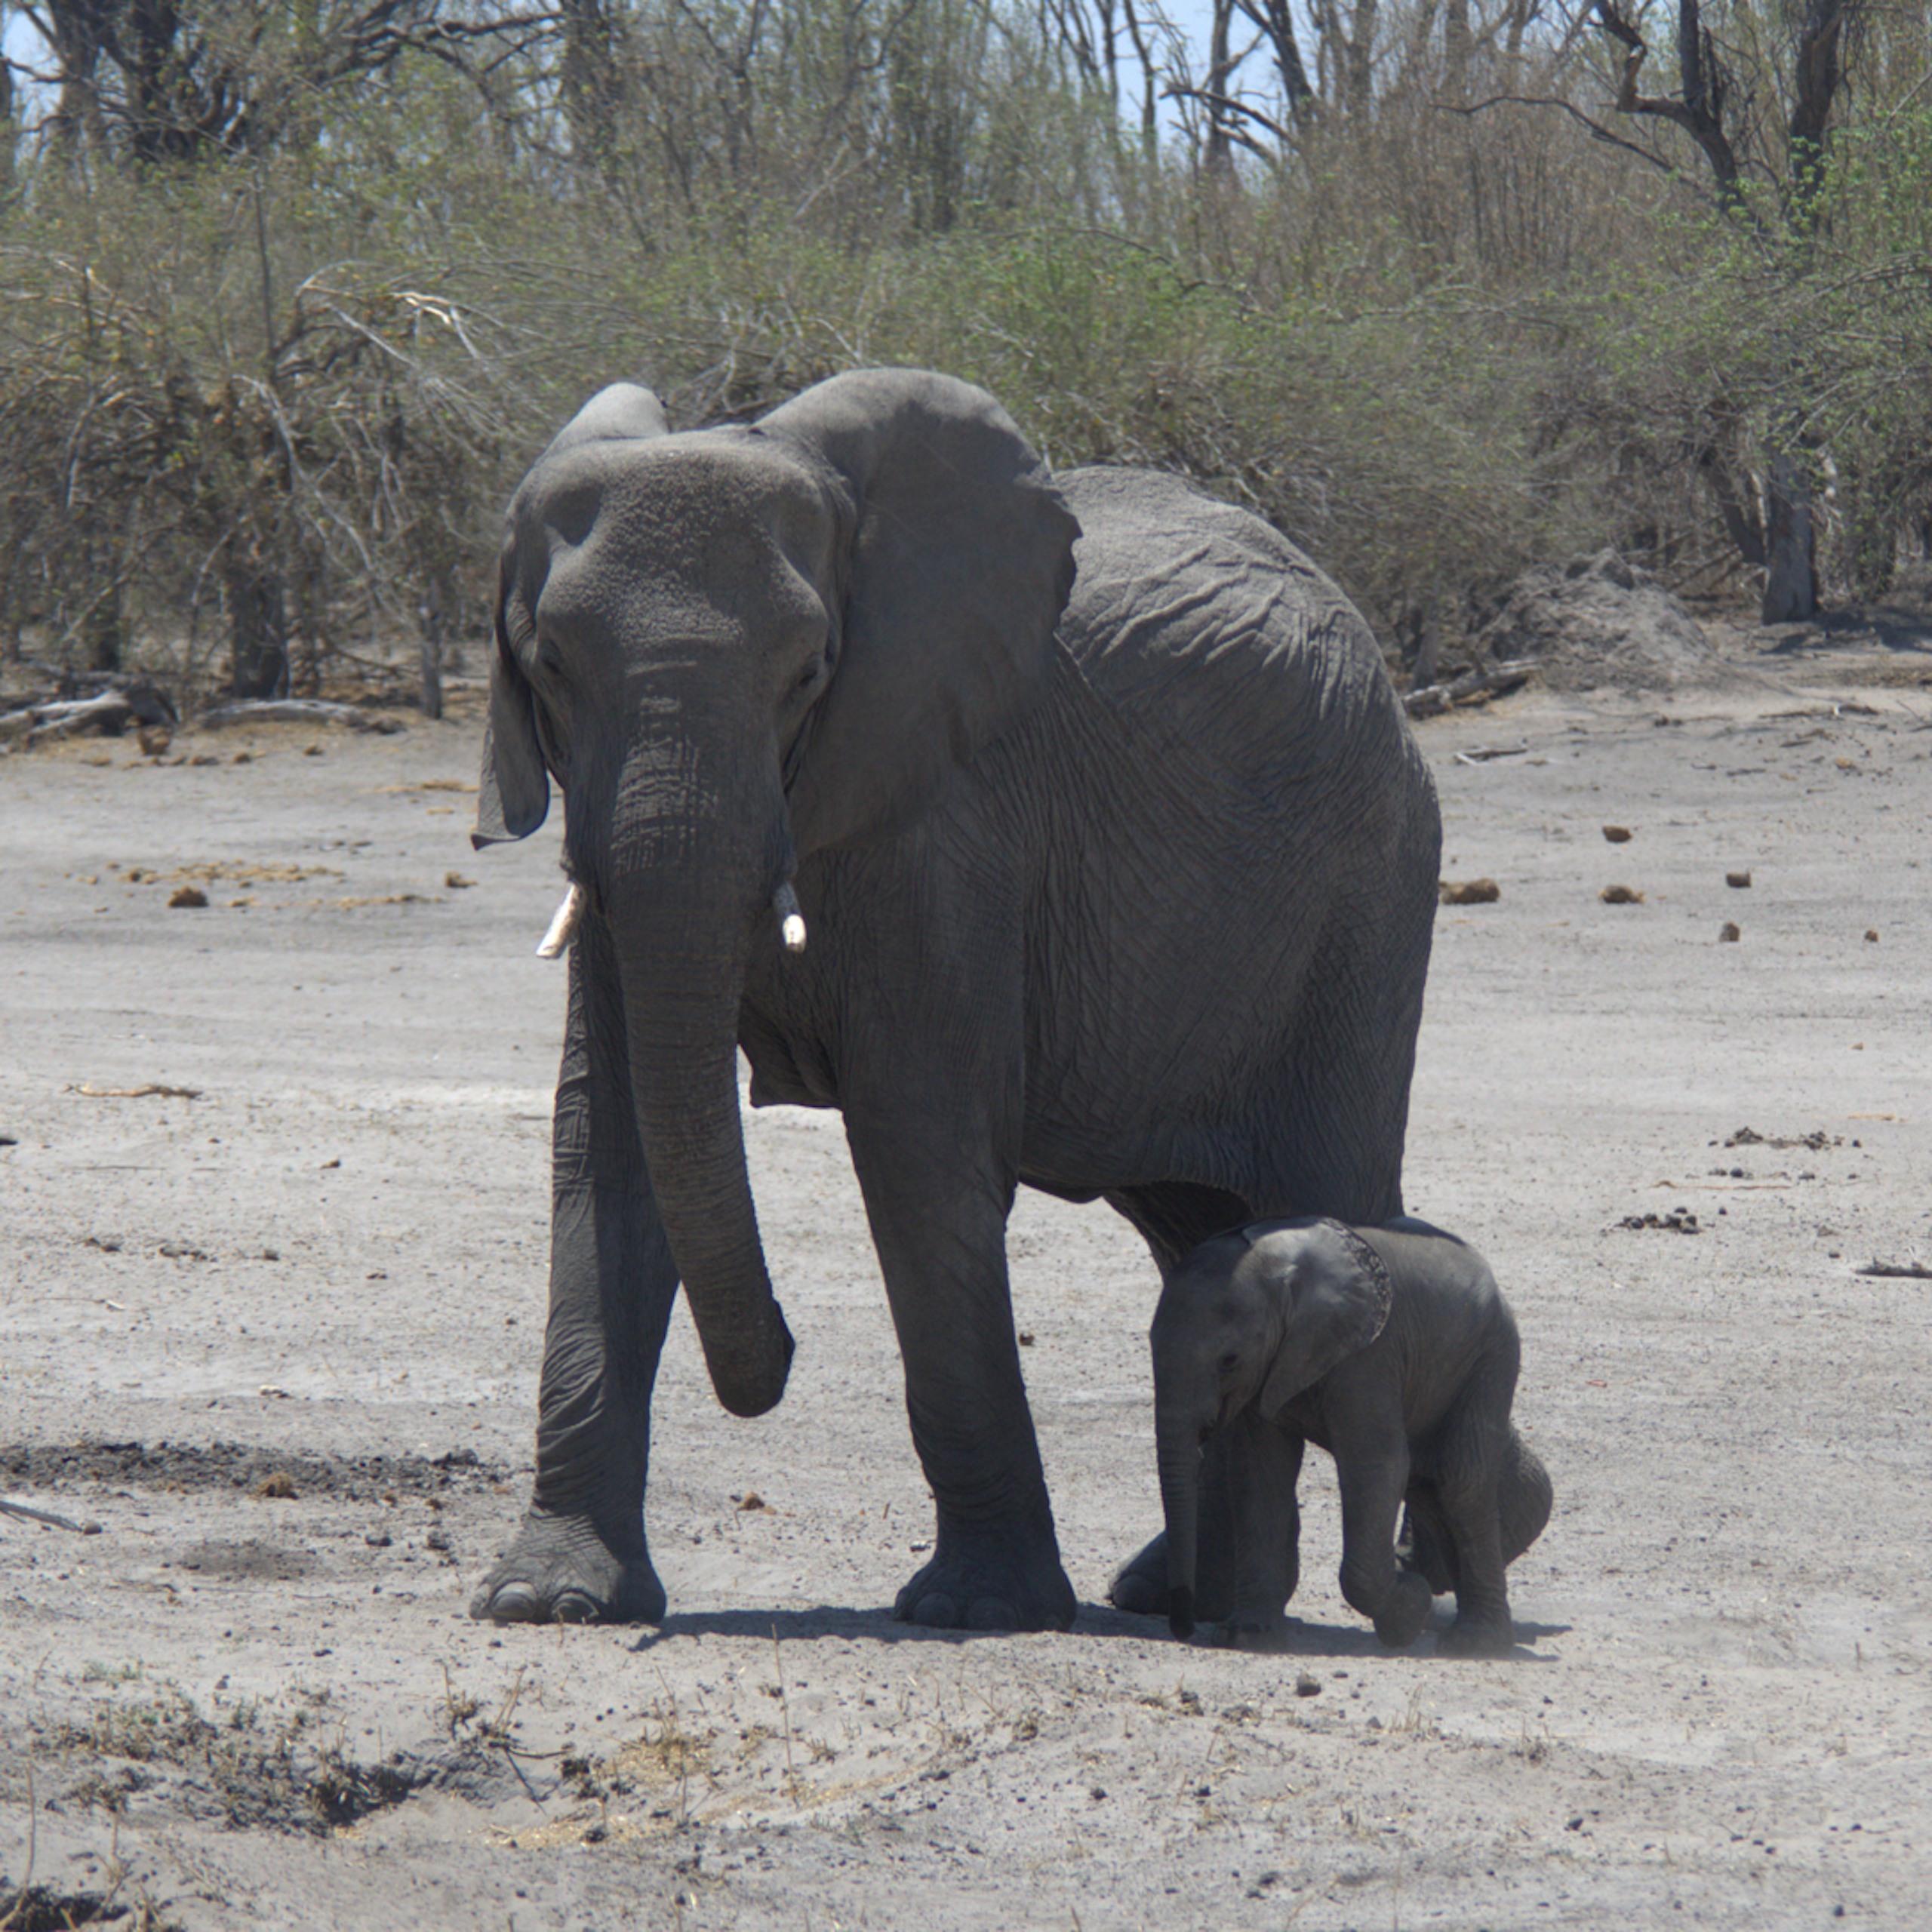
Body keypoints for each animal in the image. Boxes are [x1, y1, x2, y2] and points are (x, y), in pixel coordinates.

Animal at [469, 366, 1442, 1631]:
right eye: (547, 669)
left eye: (811, 673)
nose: (775, 1365)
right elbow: (607, 1144)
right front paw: (549, 1600)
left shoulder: (949, 821)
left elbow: (919, 1152)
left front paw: (981, 1610)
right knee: (1199, 1237)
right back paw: (1170, 1590)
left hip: (1366, 887)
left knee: (1328, 1192)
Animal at [1151, 1215, 1552, 1657]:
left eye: (1229, 1361)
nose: (1183, 1629)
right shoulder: (1270, 1369)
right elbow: (1259, 1475)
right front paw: (1246, 1637)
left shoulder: (1369, 1357)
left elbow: (1376, 1465)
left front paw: (1409, 1613)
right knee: (1426, 1482)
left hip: (1491, 1355)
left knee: (1462, 1480)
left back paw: (1476, 1642)